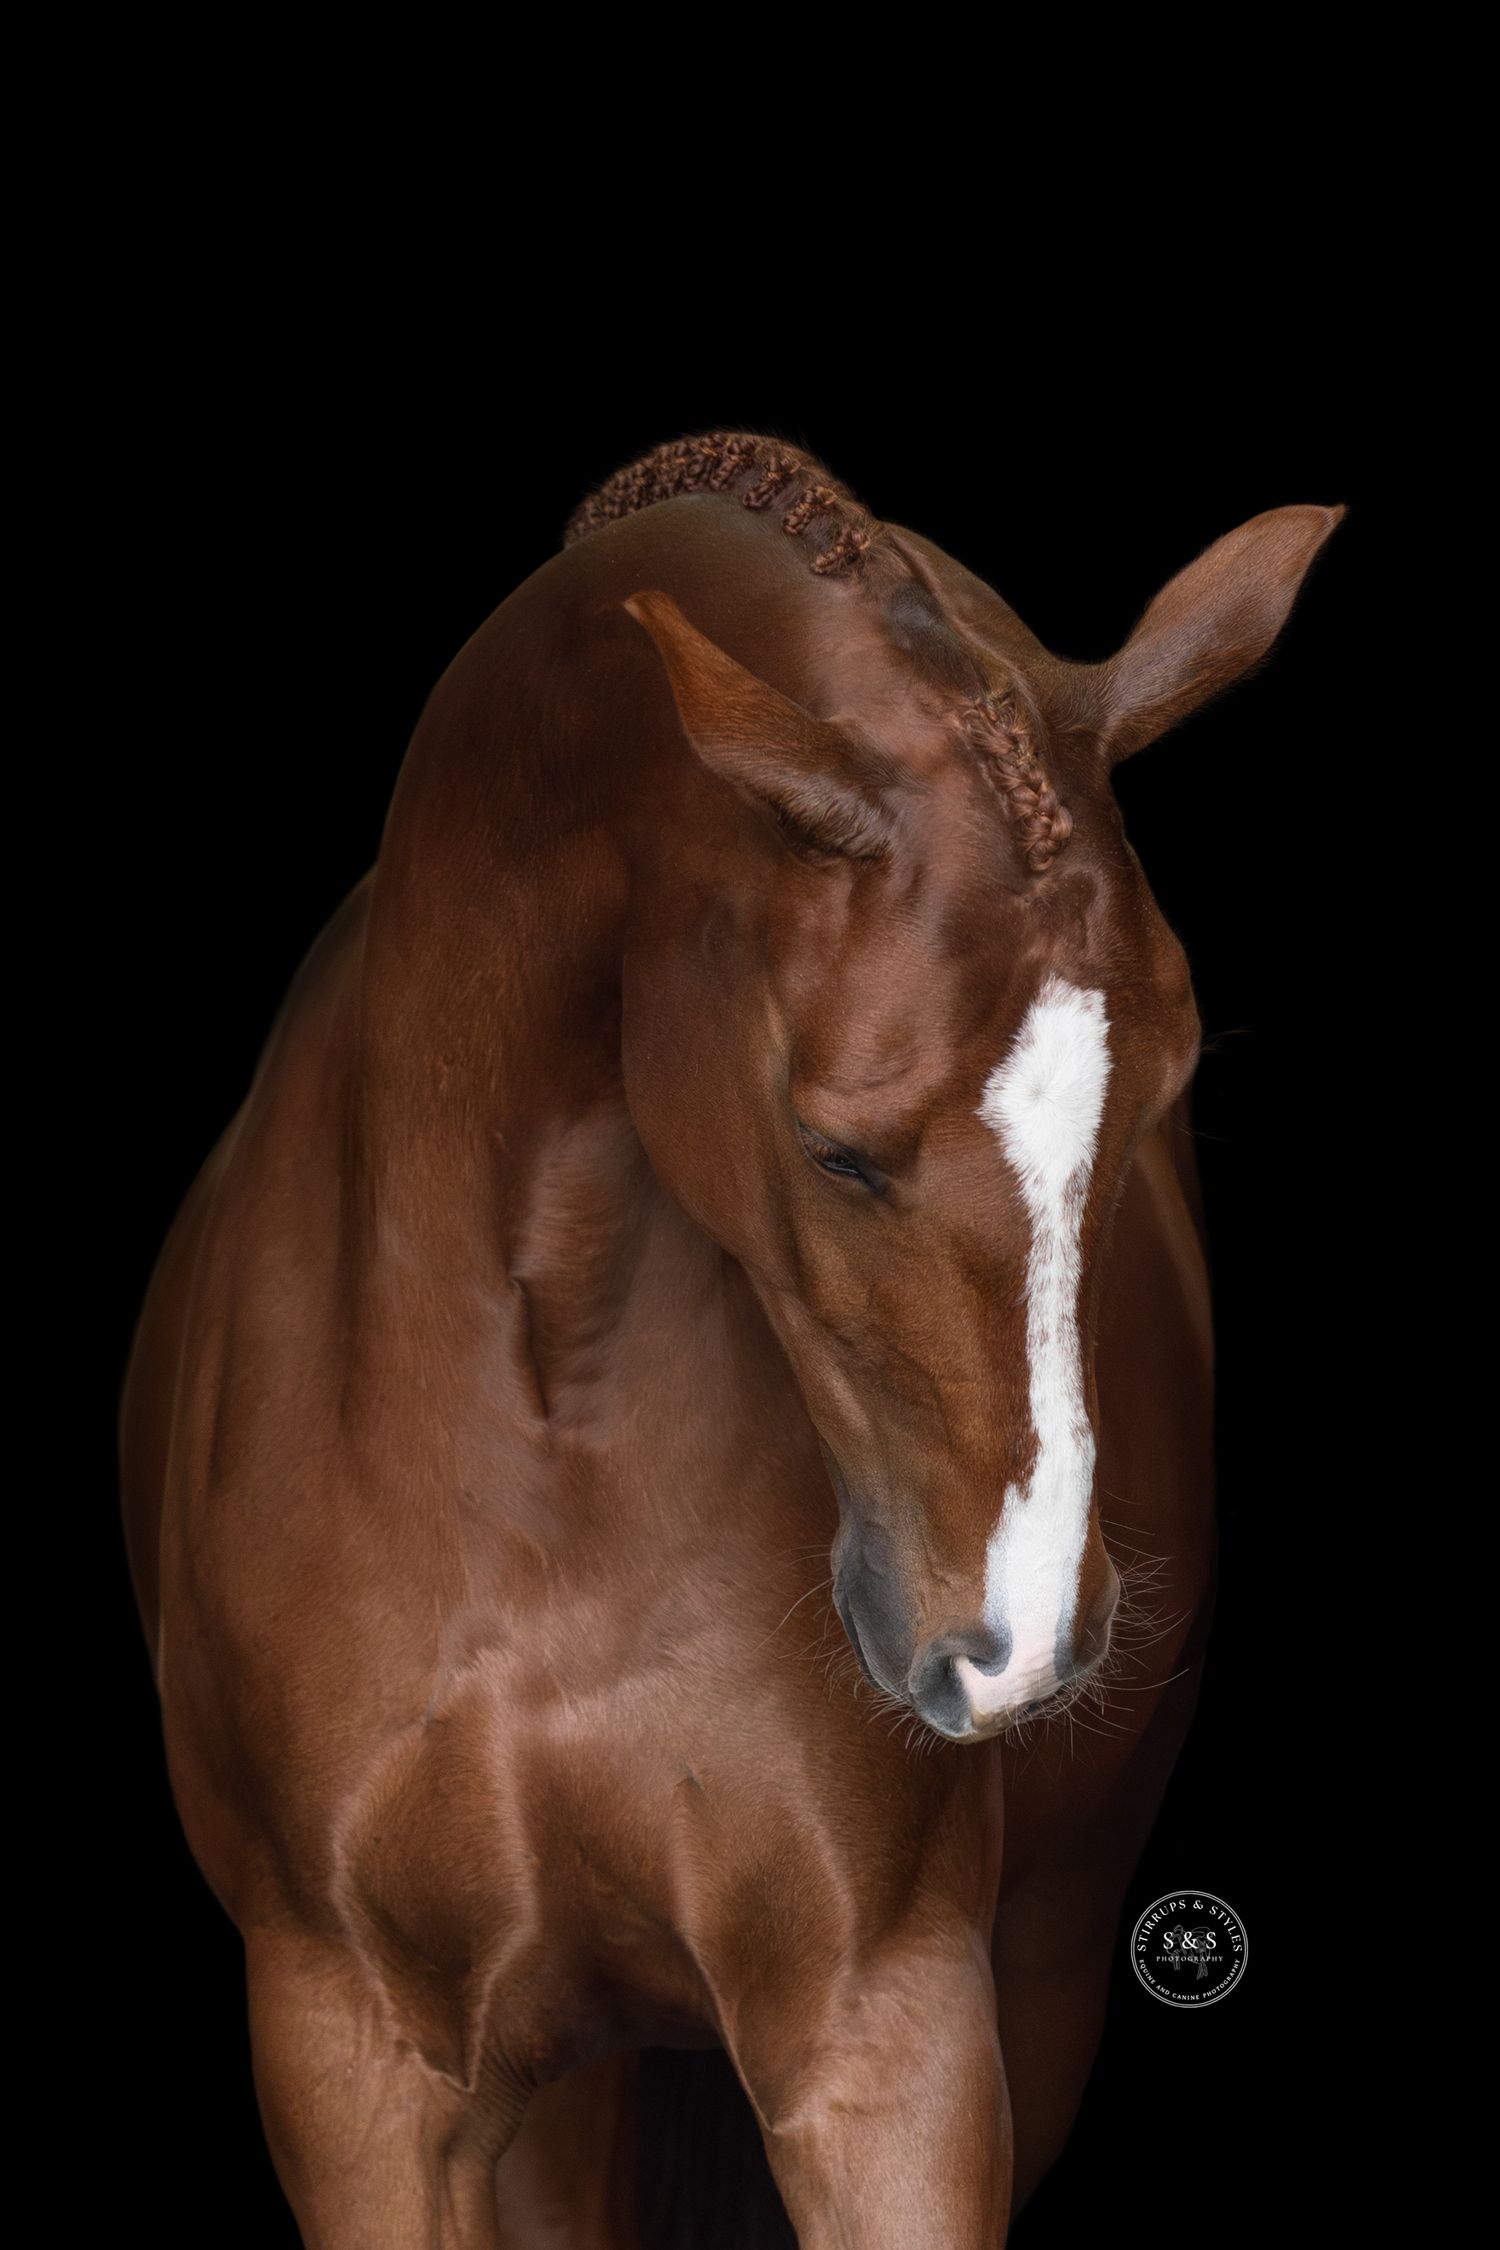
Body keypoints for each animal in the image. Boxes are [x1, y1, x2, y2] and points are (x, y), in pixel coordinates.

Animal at [120, 432, 1342, 2247]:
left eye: (1161, 1100)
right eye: (835, 1148)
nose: (1021, 1643)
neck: (540, 1436)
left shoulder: (886, 2041)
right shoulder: (360, 2070)